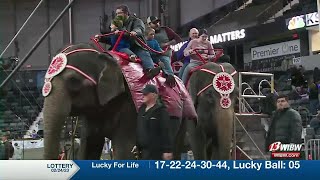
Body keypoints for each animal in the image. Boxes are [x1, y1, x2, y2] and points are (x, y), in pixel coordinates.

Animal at [42, 43, 198, 160]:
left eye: (74, 82)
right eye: (45, 81)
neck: (104, 56)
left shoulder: (129, 107)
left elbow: (124, 149)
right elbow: (89, 145)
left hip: (182, 117)